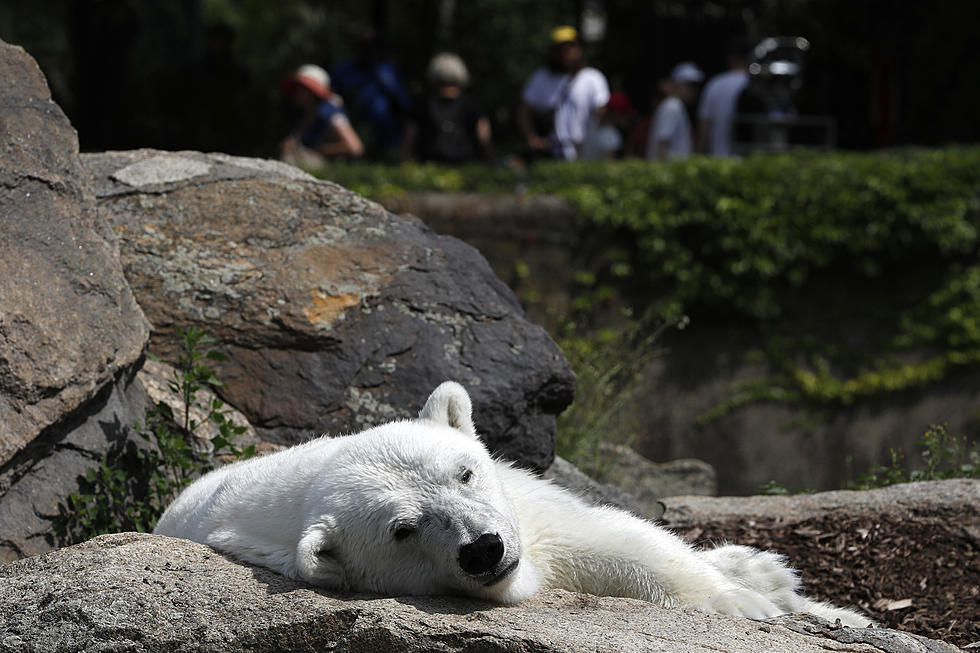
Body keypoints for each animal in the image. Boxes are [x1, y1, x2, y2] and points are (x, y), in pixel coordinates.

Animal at [155, 382, 872, 628]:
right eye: (404, 529)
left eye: (465, 472)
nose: (483, 549)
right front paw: (752, 605)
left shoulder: (523, 504)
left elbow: (616, 542)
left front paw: (761, 602)